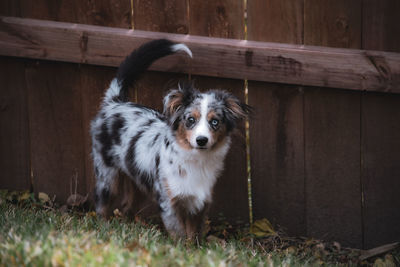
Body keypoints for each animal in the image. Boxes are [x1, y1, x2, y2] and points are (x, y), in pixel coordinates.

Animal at [92, 38, 252, 240]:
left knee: (127, 207)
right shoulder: (168, 200)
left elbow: (194, 235)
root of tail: (115, 102)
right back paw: (105, 229)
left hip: (136, 180)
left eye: (215, 122)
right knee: (102, 205)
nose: (201, 140)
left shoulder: (199, 203)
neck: (195, 160)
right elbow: (179, 233)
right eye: (190, 120)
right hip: (107, 175)